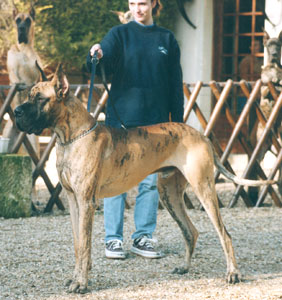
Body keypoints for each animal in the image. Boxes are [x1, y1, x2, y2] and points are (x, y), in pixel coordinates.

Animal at [3, 4, 41, 155]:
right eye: (18, 20)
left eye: (28, 21)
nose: (22, 28)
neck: (25, 49)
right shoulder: (13, 73)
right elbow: (16, 81)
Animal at [13, 65, 274, 292]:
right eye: (28, 96)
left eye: (39, 99)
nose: (16, 111)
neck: (72, 136)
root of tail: (201, 135)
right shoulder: (73, 201)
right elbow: (79, 245)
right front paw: (76, 277)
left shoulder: (86, 202)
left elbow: (85, 245)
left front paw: (82, 284)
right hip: (170, 195)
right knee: (191, 231)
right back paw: (184, 267)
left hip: (204, 189)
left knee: (224, 235)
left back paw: (233, 274)